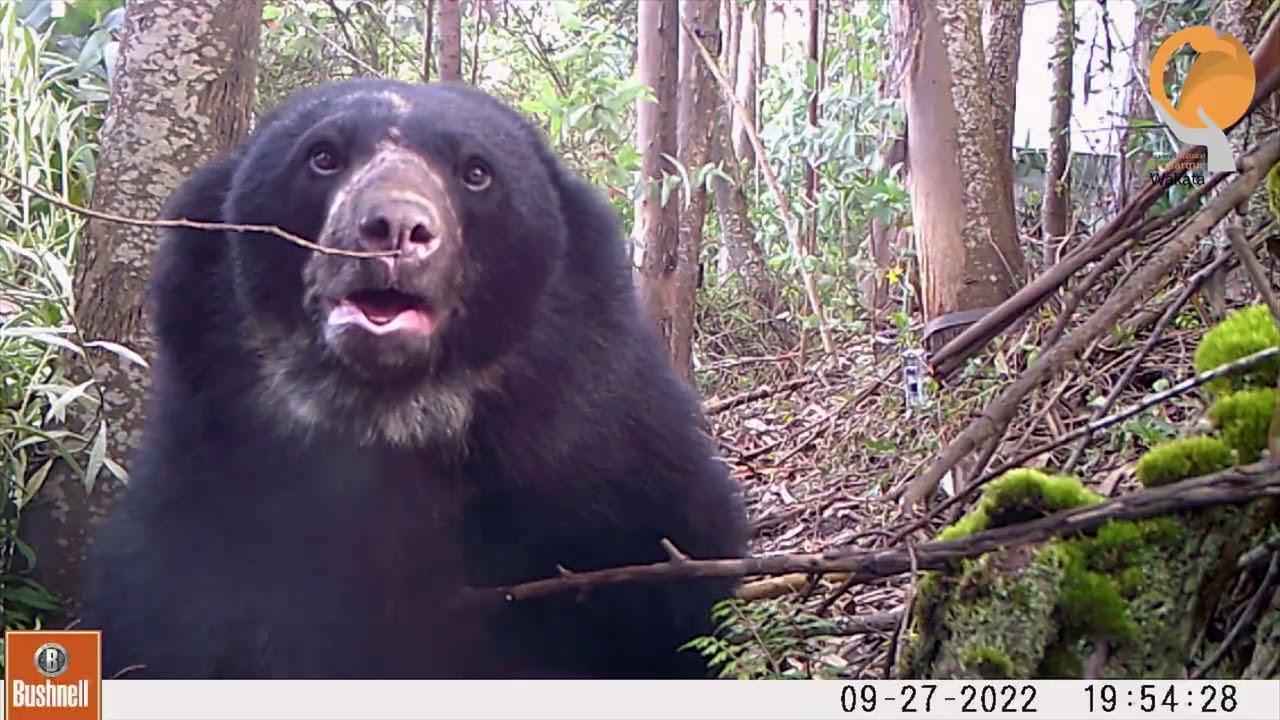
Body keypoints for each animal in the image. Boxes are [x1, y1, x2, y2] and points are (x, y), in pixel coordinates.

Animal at [76, 78, 751, 680]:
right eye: (322, 157)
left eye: (476, 172)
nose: (394, 227)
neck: (392, 420)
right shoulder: (201, 510)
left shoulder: (616, 497)